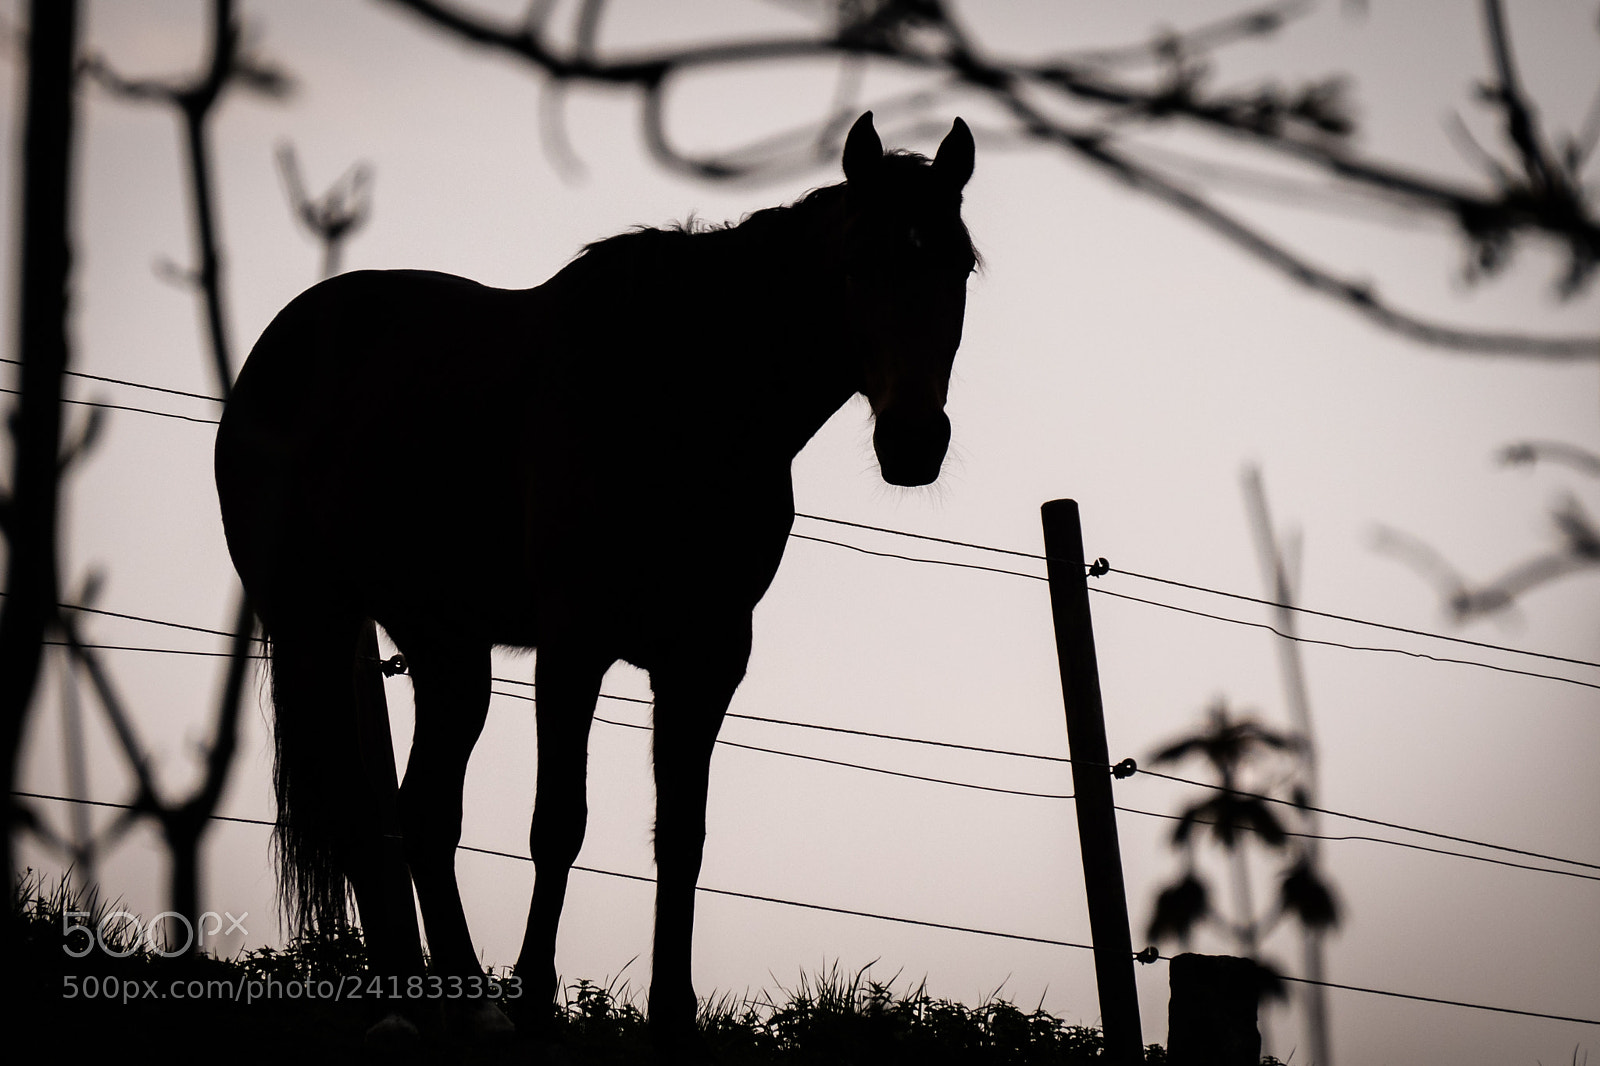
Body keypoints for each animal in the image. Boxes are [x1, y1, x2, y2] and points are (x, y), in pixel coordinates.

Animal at [214, 111, 976, 1060]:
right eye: (858, 261)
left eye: (958, 265)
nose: (914, 443)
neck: (679, 395)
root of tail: (276, 351)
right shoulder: (575, 645)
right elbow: (558, 826)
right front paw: (538, 998)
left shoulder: (708, 655)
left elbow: (681, 835)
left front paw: (672, 1016)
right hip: (315, 623)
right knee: (365, 814)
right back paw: (402, 1013)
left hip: (445, 646)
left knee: (424, 816)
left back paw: (466, 1006)